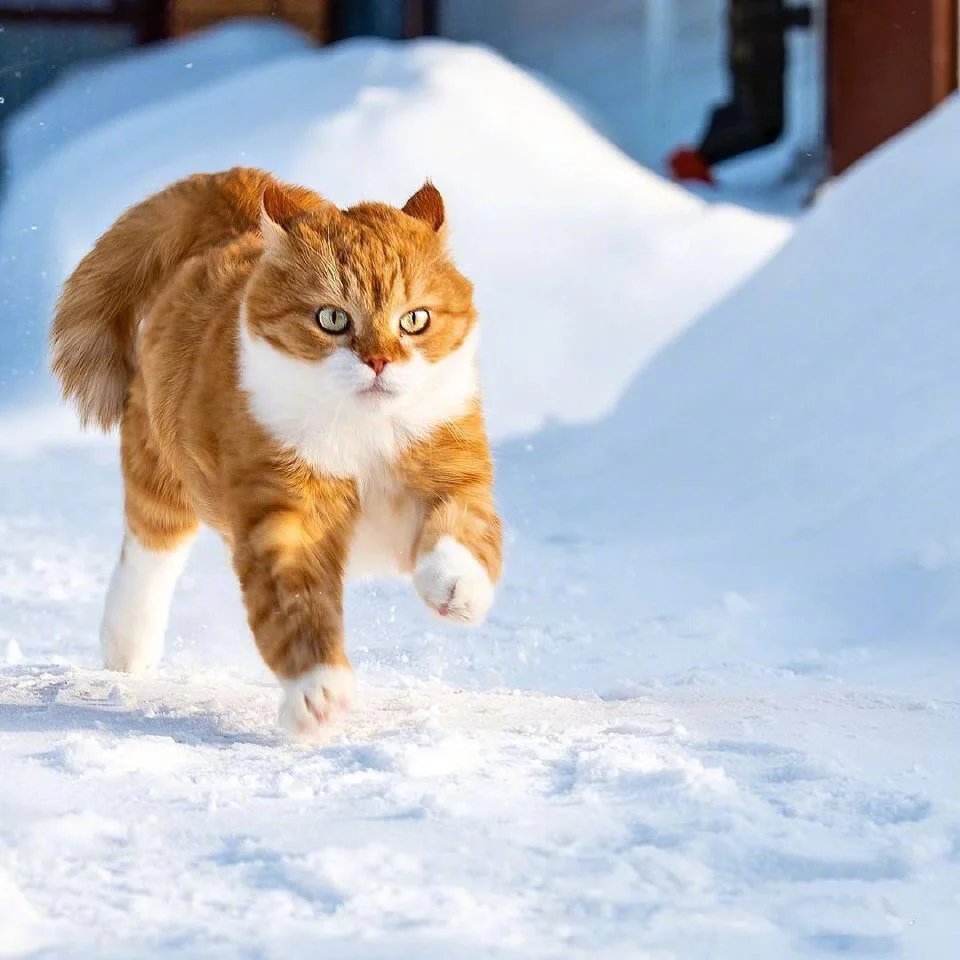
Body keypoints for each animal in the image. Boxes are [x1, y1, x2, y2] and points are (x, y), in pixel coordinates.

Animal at [50, 167, 502, 736]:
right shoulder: (285, 515)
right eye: (332, 319)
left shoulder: (452, 465)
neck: (364, 437)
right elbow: (295, 608)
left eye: (414, 320)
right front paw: (318, 691)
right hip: (160, 475)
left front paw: (455, 587)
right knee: (148, 553)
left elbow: (463, 528)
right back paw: (127, 648)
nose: (379, 361)